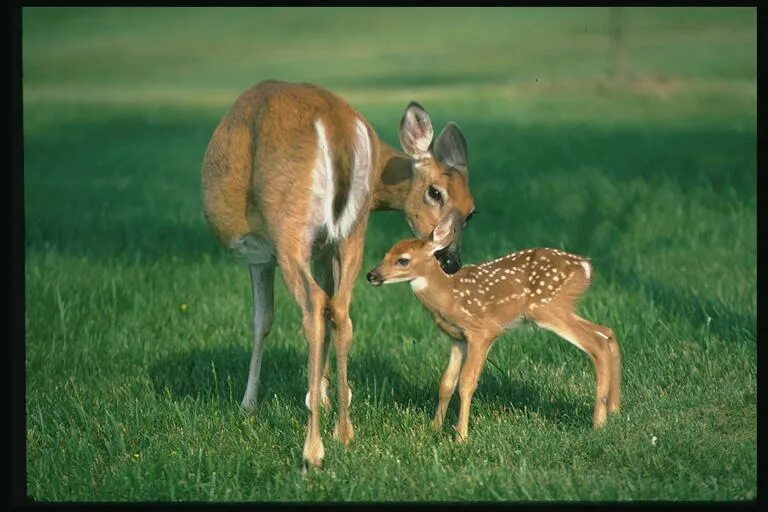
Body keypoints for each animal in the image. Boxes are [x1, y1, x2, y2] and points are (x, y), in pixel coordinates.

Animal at [200, 80, 474, 468]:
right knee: (340, 310)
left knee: (314, 307)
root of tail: (336, 127)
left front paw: (249, 404)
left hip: (290, 224)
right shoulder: (326, 247)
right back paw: (344, 431)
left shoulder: (262, 256)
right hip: (353, 231)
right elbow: (327, 315)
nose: (450, 260)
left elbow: (261, 321)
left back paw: (313, 449)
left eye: (470, 213)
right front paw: (325, 395)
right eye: (436, 192)